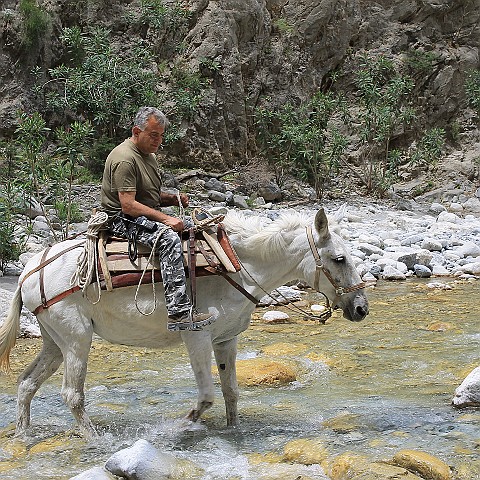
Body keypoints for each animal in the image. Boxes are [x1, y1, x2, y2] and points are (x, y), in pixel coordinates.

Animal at [0, 208, 368, 436]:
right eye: (339, 259)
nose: (362, 308)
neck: (237, 265)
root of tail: (29, 271)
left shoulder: (226, 340)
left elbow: (230, 391)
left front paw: (233, 431)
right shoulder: (198, 336)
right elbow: (206, 396)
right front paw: (179, 428)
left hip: (54, 341)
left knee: (26, 383)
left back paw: (22, 434)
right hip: (77, 339)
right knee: (71, 395)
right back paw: (95, 440)